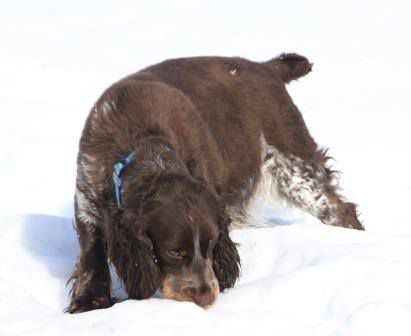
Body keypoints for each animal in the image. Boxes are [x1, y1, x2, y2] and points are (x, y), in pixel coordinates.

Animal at [67, 52, 364, 312]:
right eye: (175, 252)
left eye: (211, 246)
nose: (205, 297)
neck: (142, 142)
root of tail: (267, 67)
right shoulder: (86, 199)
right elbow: (92, 255)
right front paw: (89, 302)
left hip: (296, 168)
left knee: (340, 210)